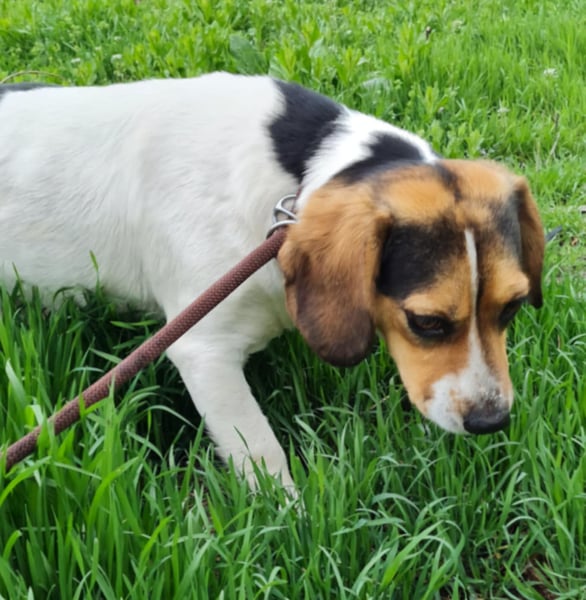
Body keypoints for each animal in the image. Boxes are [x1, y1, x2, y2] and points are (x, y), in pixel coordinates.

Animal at [0, 73, 544, 488]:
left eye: (512, 307)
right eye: (426, 322)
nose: (492, 421)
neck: (294, 180)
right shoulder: (203, 351)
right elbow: (262, 453)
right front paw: (291, 520)